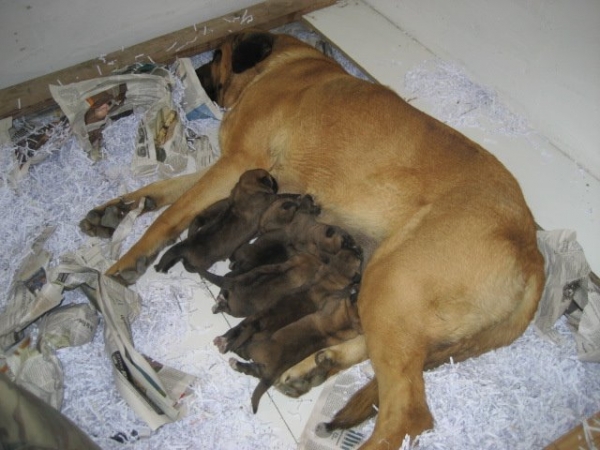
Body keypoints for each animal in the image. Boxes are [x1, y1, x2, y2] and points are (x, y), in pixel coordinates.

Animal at [82, 29, 548, 448]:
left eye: (216, 55)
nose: (191, 75)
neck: (282, 65)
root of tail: (533, 251)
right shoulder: (228, 169)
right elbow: (167, 188)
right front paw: (118, 209)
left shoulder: (236, 162)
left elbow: (169, 216)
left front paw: (126, 261)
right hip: (388, 301)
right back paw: (312, 366)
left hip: (390, 279)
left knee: (408, 415)